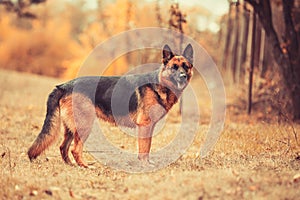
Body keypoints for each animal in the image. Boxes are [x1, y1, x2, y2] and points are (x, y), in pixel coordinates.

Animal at [27, 43, 193, 167]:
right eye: (174, 67)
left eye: (186, 66)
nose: (183, 76)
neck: (159, 83)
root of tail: (64, 85)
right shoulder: (145, 125)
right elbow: (145, 148)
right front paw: (144, 165)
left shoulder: (149, 127)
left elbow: (147, 147)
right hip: (84, 125)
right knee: (75, 149)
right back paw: (84, 166)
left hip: (71, 128)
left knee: (63, 147)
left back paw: (71, 165)